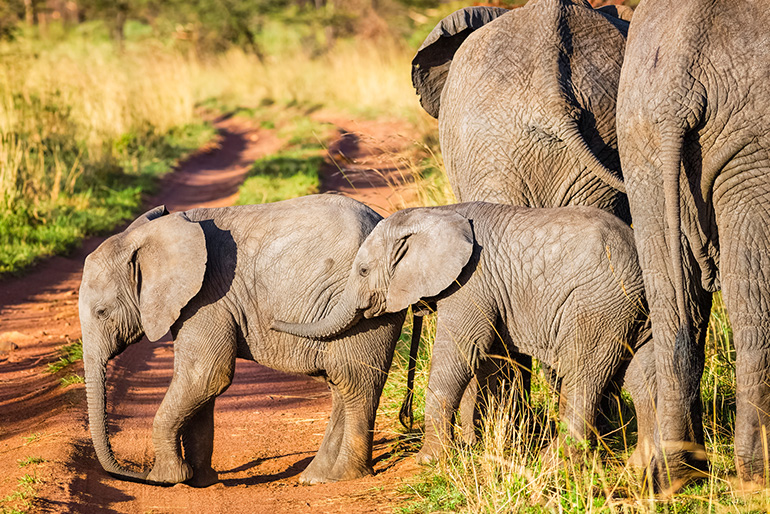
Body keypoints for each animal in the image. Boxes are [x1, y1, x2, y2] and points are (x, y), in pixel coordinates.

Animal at [79, 192, 404, 484]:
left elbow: (206, 375)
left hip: (365, 305)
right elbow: (202, 385)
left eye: (102, 312)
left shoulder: (207, 298)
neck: (152, 235)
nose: (134, 473)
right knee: (342, 385)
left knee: (354, 383)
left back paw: (344, 476)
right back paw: (317, 477)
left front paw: (167, 478)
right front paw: (200, 481)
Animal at [272, 203, 656, 464]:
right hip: (634, 310)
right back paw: (644, 466)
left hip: (600, 303)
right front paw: (479, 445)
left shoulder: (472, 282)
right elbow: (489, 359)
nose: (274, 321)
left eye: (363, 270)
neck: (438, 214)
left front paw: (429, 460)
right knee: (642, 374)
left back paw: (556, 462)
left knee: (583, 373)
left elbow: (460, 352)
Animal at [616, 0, 768, 488]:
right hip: (752, 149)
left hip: (640, 141)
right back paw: (756, 475)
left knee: (671, 302)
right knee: (753, 303)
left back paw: (676, 472)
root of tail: (678, 92)